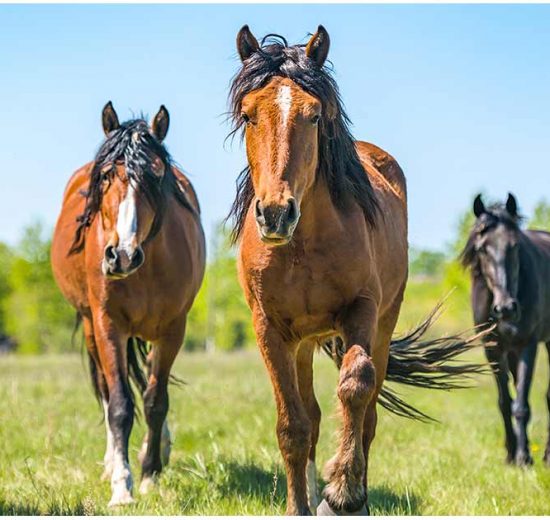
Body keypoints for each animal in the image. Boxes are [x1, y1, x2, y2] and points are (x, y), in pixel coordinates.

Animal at [50, 102, 206, 508]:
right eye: (106, 175)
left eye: (155, 175)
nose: (120, 256)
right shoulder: (108, 325)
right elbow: (120, 405)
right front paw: (122, 486)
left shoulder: (173, 329)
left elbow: (155, 400)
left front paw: (150, 472)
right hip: (92, 327)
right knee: (107, 392)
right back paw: (111, 463)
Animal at [231, 25, 490, 516]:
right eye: (250, 115)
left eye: (315, 115)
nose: (275, 214)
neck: (302, 247)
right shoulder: (269, 328)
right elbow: (293, 425)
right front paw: (300, 504)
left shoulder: (361, 310)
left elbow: (356, 386)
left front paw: (342, 492)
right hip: (302, 343)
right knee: (312, 415)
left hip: (383, 326)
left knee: (367, 411)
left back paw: (357, 497)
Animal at [464, 193, 550, 466]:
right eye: (482, 248)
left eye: (514, 246)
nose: (506, 308)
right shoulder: (492, 349)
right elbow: (504, 402)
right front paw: (511, 454)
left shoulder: (528, 345)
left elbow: (521, 405)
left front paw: (524, 458)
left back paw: (546, 454)